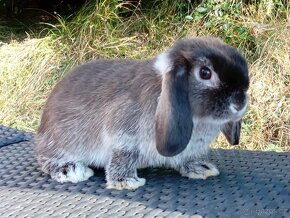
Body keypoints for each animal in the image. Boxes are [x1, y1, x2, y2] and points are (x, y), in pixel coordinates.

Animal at [35, 36, 249, 190]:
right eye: (205, 73)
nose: (239, 103)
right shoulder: (123, 135)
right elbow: (124, 155)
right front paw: (125, 182)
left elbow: (187, 159)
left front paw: (201, 169)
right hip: (60, 142)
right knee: (46, 160)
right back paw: (70, 170)